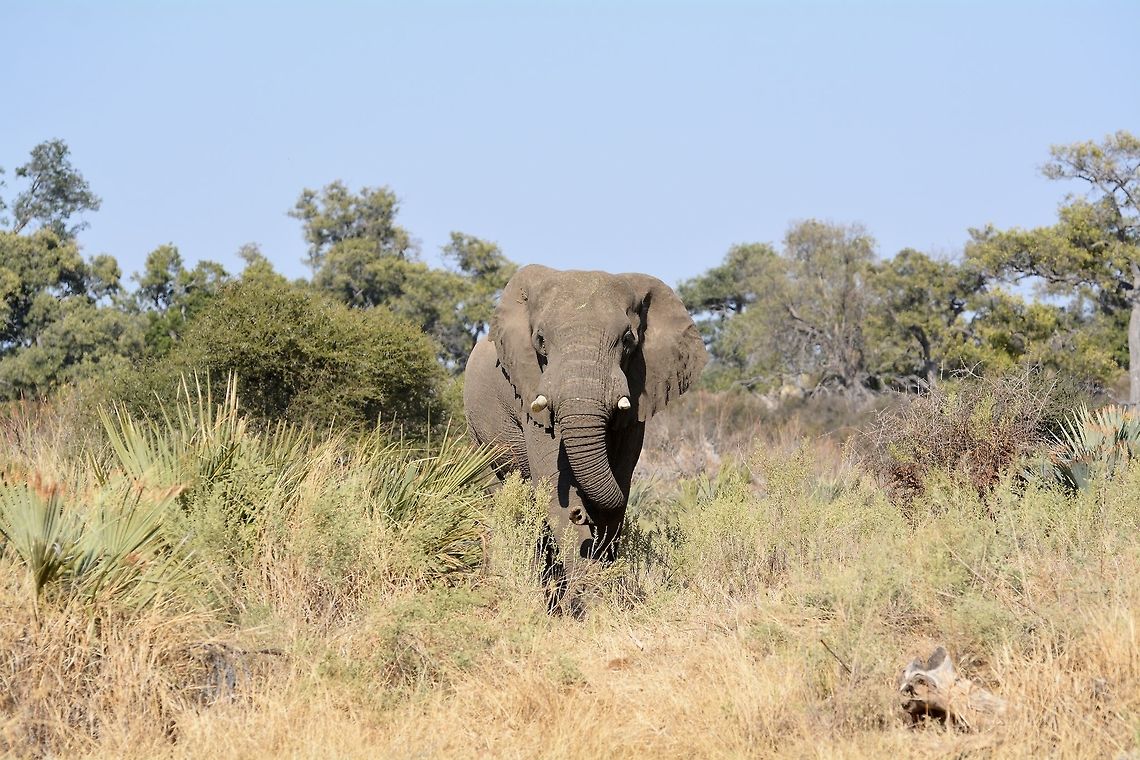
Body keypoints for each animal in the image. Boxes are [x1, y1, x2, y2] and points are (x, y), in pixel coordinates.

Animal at [463, 264, 707, 612]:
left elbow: (618, 489)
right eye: (540, 341)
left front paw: (602, 597)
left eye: (628, 340)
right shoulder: (532, 399)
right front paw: (585, 606)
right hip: (480, 436)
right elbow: (556, 486)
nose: (580, 513)